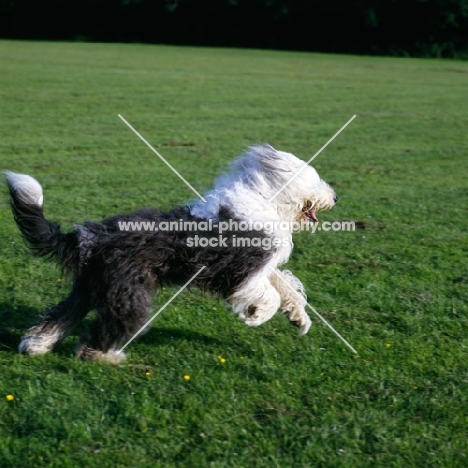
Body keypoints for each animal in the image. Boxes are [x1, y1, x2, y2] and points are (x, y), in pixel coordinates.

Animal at [4, 144, 336, 364]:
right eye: (316, 178)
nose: (334, 196)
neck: (264, 198)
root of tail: (92, 236)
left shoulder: (262, 266)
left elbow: (284, 285)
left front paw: (299, 319)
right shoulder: (239, 270)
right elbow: (269, 295)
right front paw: (254, 316)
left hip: (91, 286)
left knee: (59, 315)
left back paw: (35, 345)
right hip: (130, 294)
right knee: (101, 333)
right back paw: (106, 356)